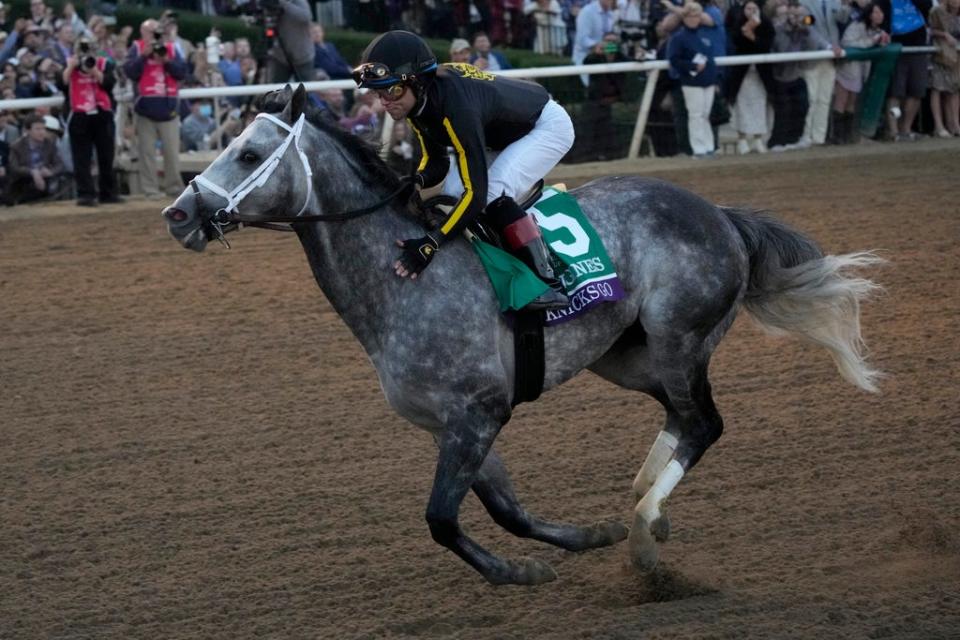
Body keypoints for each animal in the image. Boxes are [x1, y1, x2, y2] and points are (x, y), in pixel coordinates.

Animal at [165, 85, 884, 584]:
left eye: (249, 153)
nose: (179, 213)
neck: (403, 282)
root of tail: (721, 215)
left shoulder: (479, 411)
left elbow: (441, 518)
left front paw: (518, 571)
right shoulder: (446, 423)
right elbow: (502, 509)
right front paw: (580, 541)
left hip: (680, 338)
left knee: (703, 423)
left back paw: (645, 533)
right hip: (627, 357)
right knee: (680, 420)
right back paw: (643, 505)